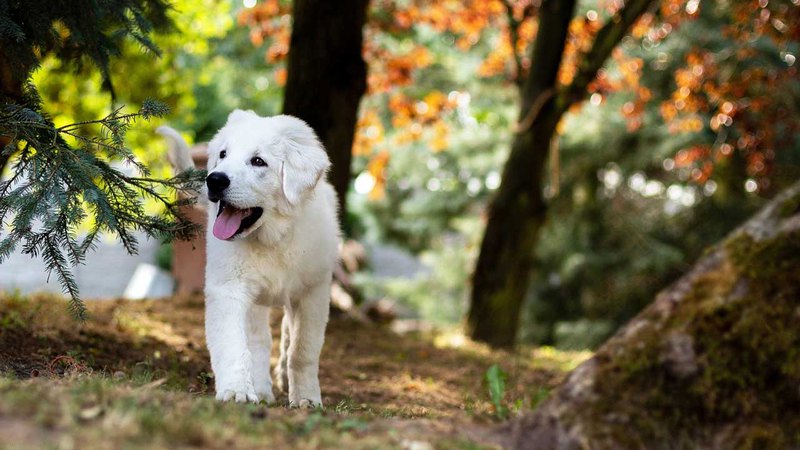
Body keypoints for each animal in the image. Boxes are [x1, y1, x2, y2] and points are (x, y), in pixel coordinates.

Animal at [158, 110, 340, 406]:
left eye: (258, 161)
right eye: (223, 154)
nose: (214, 180)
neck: (272, 239)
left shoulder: (313, 292)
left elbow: (303, 350)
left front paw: (307, 398)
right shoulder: (229, 288)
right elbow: (235, 345)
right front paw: (236, 391)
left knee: (286, 335)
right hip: (255, 300)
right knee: (259, 341)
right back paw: (262, 390)